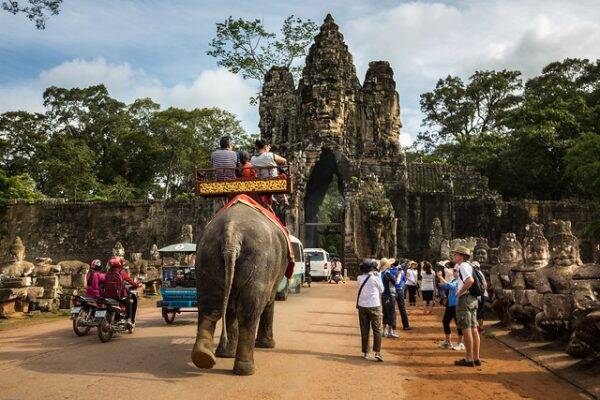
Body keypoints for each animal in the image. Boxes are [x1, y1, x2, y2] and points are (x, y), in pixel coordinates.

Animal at [190, 203, 288, 376]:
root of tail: (232, 233)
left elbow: (229, 308)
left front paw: (225, 354)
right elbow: (269, 301)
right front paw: (268, 345)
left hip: (205, 258)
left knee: (209, 307)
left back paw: (204, 356)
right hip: (259, 262)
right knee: (249, 313)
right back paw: (246, 370)